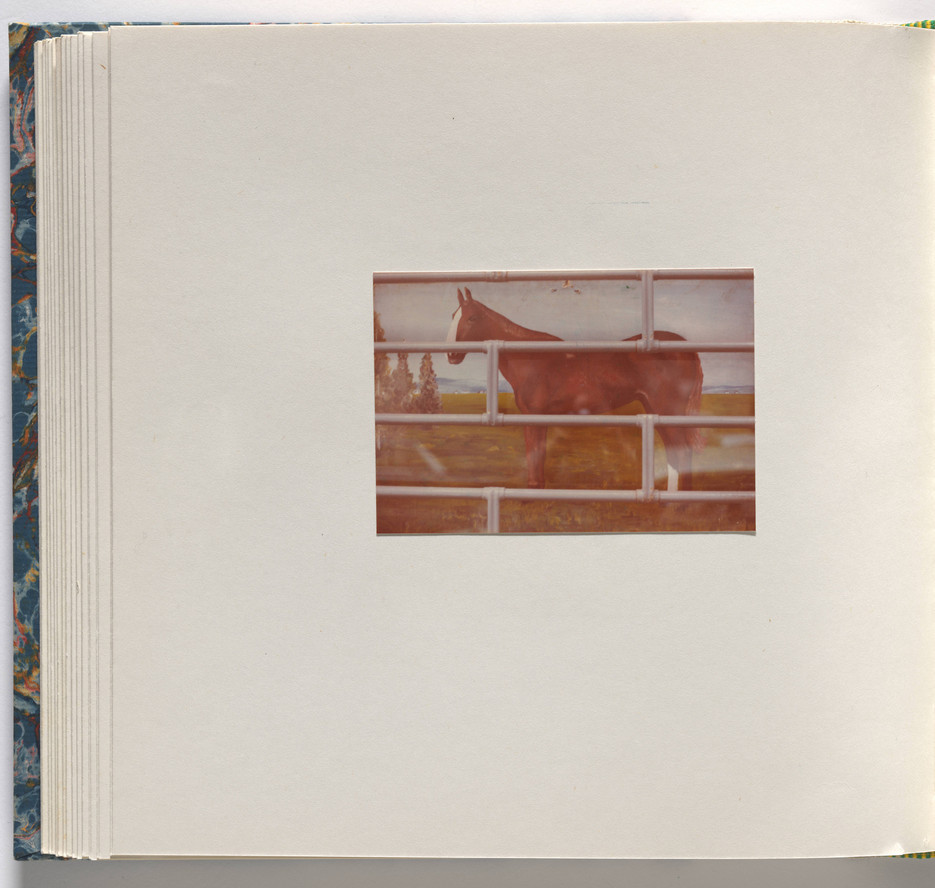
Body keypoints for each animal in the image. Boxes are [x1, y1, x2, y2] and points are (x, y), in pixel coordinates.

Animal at [446, 287, 704, 491]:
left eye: (472, 318)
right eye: (452, 316)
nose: (451, 355)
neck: (531, 357)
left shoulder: (534, 416)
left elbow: (534, 453)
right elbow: (538, 454)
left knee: (682, 451)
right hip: (656, 410)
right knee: (676, 451)